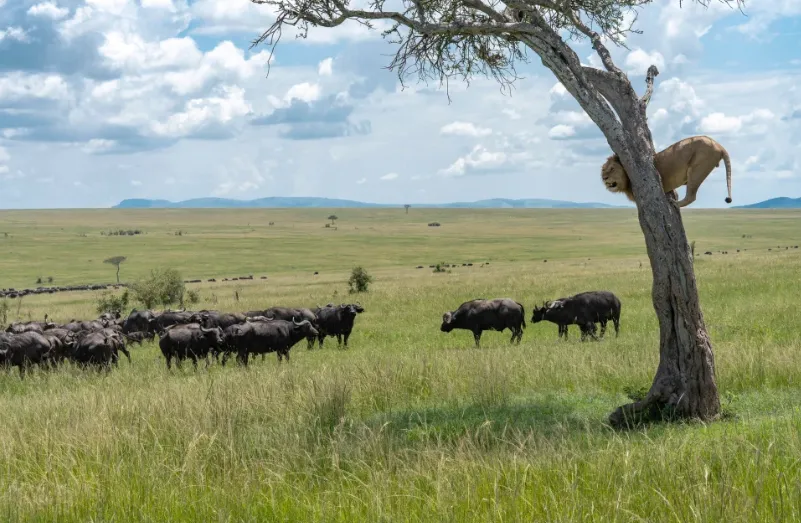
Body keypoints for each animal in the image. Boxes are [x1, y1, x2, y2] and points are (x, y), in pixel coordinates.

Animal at [600, 135, 732, 209]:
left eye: (612, 169)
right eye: (603, 171)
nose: (604, 178)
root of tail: (720, 146)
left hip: (697, 168)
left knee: (691, 196)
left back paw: (675, 204)